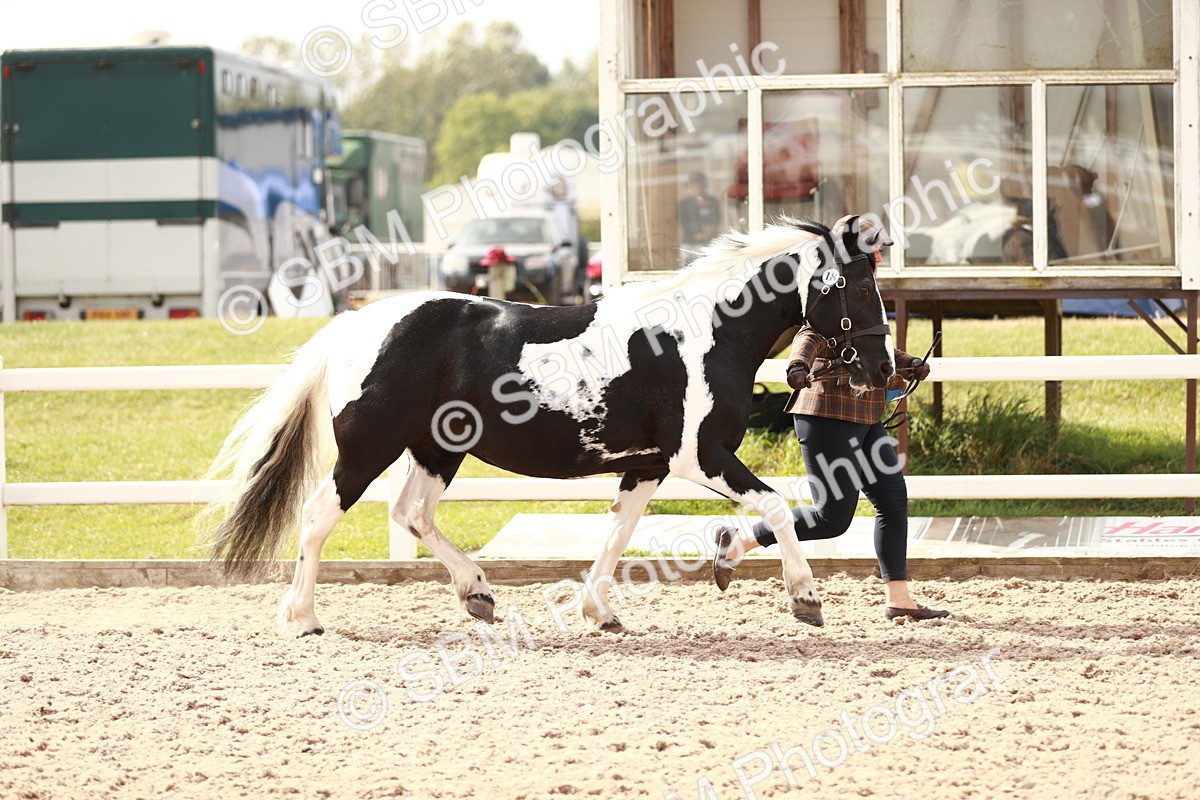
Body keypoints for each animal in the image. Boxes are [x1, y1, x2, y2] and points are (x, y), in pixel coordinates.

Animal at [203, 214, 896, 637]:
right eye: (859, 287)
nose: (885, 370)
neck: (705, 334)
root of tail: (354, 323)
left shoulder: (647, 466)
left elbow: (617, 535)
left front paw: (600, 612)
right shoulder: (699, 456)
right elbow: (776, 506)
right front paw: (805, 600)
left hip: (436, 450)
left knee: (412, 513)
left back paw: (477, 593)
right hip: (369, 447)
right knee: (320, 514)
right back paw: (302, 617)